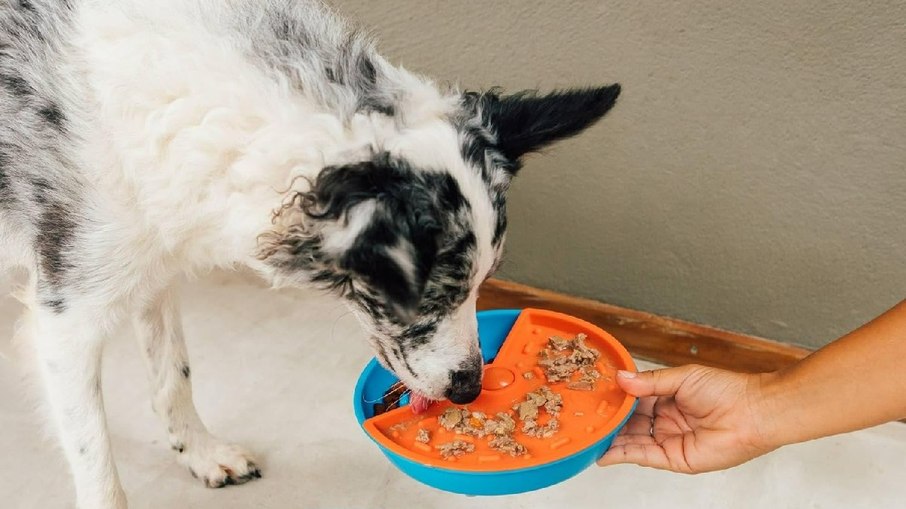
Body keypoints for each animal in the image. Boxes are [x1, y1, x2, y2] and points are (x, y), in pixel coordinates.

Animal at [0, 1, 616, 506]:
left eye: (485, 281)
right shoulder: (67, 317)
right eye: (425, 294)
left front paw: (201, 453)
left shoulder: (154, 261)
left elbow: (173, 373)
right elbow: (97, 465)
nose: (470, 390)